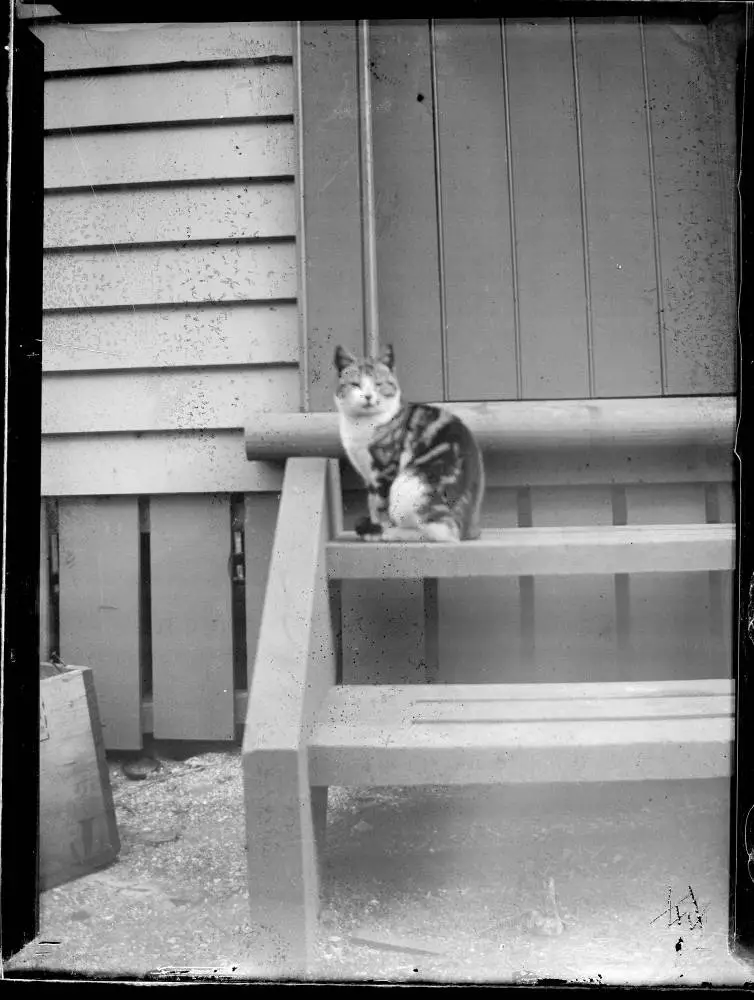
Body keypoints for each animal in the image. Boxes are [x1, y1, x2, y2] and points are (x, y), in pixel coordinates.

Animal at [332, 348, 484, 544]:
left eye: (378, 384)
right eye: (355, 384)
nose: (368, 396)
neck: (361, 425)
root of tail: (470, 529)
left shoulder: (385, 469)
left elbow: (381, 505)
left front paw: (379, 530)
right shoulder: (368, 475)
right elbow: (372, 503)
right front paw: (374, 527)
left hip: (409, 486)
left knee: (442, 532)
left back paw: (393, 533)